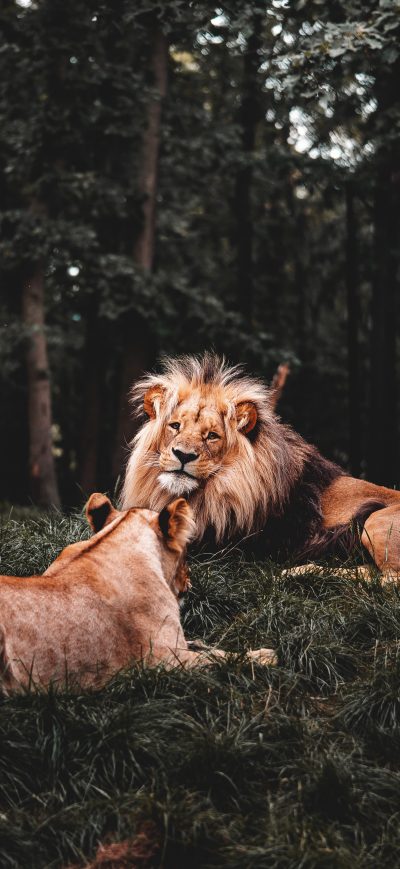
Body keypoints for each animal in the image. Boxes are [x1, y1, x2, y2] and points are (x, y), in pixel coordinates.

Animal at [0, 494, 275, 692]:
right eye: (186, 552)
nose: (189, 582)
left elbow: (205, 647)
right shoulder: (165, 663)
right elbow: (223, 660)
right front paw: (266, 657)